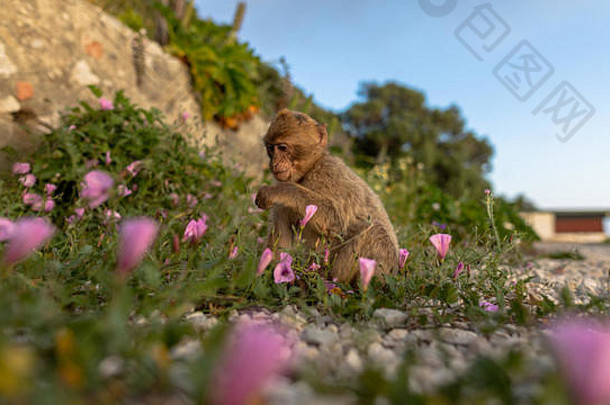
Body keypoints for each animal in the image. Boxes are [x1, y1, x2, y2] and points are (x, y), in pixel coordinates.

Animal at [253, 109, 400, 282]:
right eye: (271, 148)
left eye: (282, 148)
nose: (273, 163)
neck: (311, 168)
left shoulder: (328, 174)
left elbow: (337, 222)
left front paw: (280, 190)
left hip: (382, 267)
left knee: (373, 229)